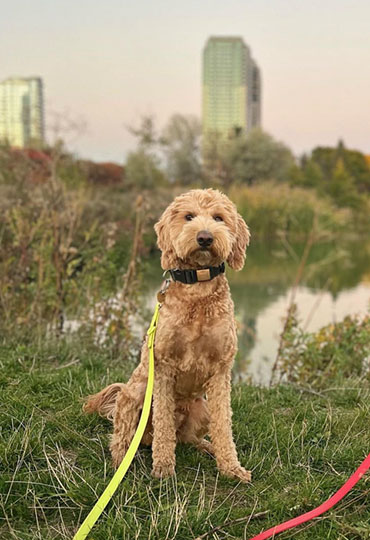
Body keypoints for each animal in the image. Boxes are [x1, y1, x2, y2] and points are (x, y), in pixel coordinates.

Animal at [84, 189, 251, 480]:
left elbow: (223, 424)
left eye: (219, 217)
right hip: (135, 393)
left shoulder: (221, 369)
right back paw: (120, 462)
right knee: (125, 432)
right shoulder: (163, 367)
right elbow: (163, 422)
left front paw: (231, 467)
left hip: (200, 407)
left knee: (187, 438)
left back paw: (206, 446)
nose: (205, 237)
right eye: (189, 216)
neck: (198, 288)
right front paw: (163, 467)